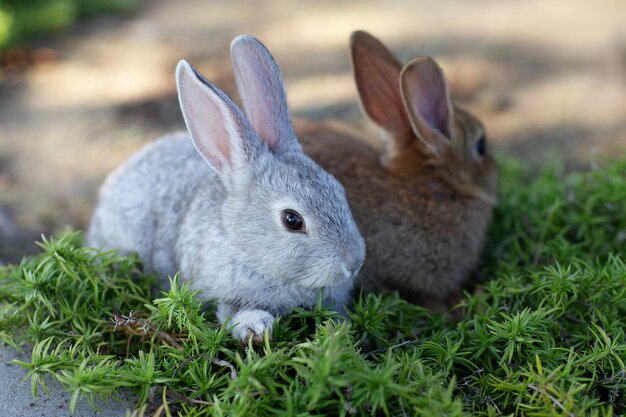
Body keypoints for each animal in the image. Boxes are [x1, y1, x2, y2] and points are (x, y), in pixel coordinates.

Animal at [85, 35, 364, 342]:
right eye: (292, 220)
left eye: (339, 191)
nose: (354, 263)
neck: (242, 244)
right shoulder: (219, 291)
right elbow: (230, 313)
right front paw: (256, 327)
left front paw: (338, 331)